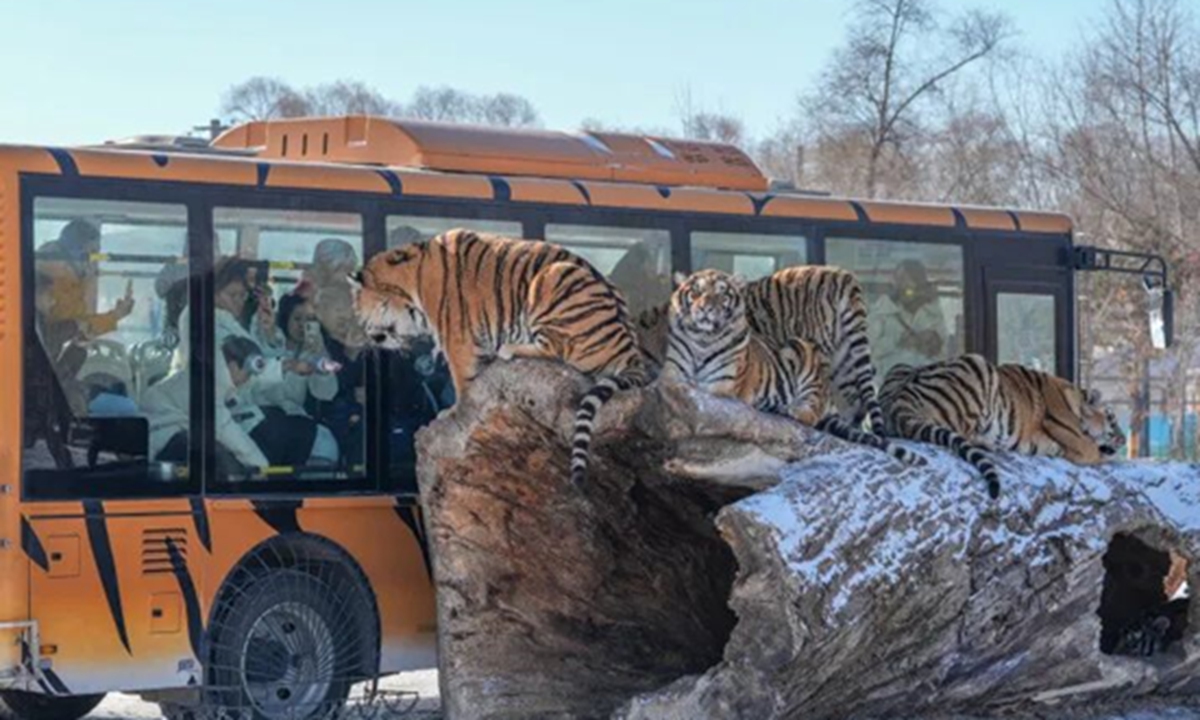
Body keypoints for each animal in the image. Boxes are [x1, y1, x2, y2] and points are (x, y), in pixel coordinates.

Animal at [351, 228, 653, 485]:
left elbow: (462, 382)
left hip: (553, 277)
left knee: (560, 348)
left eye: (359, 310)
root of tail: (631, 350)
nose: (365, 335)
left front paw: (454, 412)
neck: (412, 286)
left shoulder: (457, 340)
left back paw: (509, 348)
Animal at [664, 269, 917, 464]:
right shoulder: (672, 372)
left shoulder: (721, 388)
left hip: (805, 353)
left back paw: (786, 409)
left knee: (812, 413)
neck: (702, 341)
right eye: (695, 292)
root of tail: (845, 277)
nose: (705, 308)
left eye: (721, 293)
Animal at [879, 353, 1126, 499]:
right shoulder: (1082, 446)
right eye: (1112, 419)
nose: (1124, 440)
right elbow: (1104, 456)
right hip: (977, 365)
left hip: (900, 366)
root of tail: (898, 400)